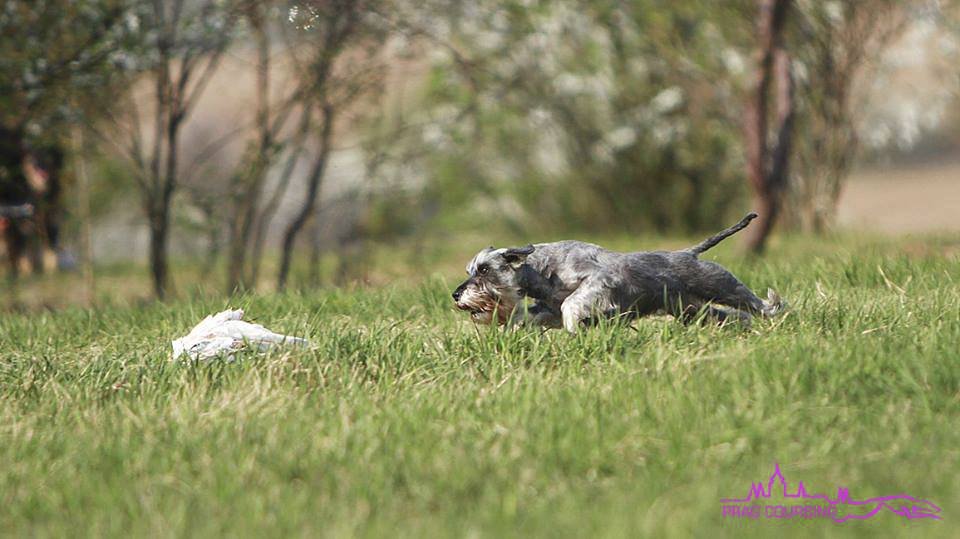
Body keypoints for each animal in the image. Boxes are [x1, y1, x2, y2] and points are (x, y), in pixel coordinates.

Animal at [454, 212, 784, 332]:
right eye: (471, 269)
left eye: (483, 269)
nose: (457, 294)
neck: (542, 270)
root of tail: (688, 252)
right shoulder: (546, 310)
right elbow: (531, 316)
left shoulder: (598, 282)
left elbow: (571, 304)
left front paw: (576, 329)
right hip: (690, 308)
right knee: (730, 315)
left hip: (721, 285)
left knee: (758, 304)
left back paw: (775, 310)